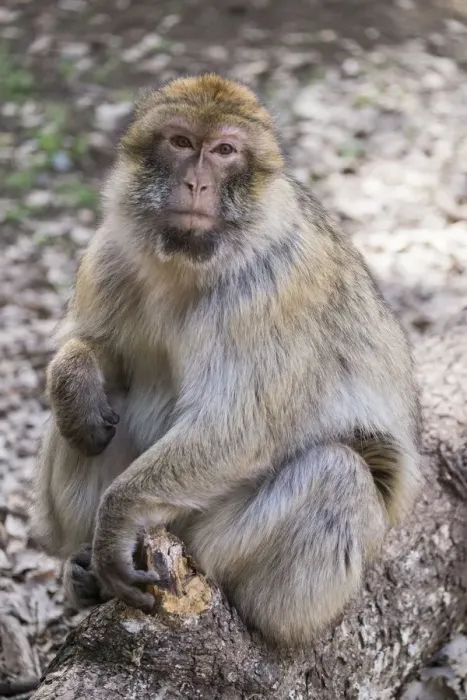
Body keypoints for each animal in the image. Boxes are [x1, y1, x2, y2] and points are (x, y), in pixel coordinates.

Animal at [31, 74, 421, 647]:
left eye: (224, 151)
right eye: (180, 142)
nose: (197, 182)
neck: (188, 264)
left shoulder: (271, 290)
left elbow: (241, 427)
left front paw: (117, 522)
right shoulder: (108, 254)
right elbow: (100, 355)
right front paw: (74, 378)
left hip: (230, 550)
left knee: (338, 471)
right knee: (90, 416)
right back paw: (82, 567)